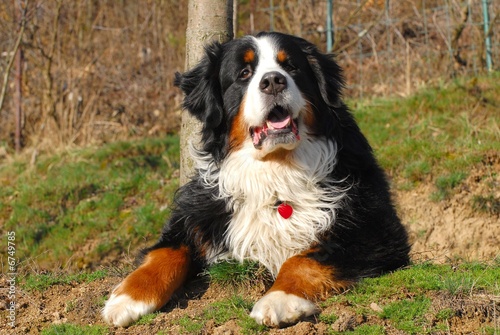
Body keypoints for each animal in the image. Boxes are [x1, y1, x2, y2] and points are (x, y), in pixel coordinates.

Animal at [102, 32, 410, 330]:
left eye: (291, 66)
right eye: (244, 73)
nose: (273, 81)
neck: (276, 170)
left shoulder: (375, 234)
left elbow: (303, 260)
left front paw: (278, 299)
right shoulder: (197, 214)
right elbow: (165, 253)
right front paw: (126, 299)